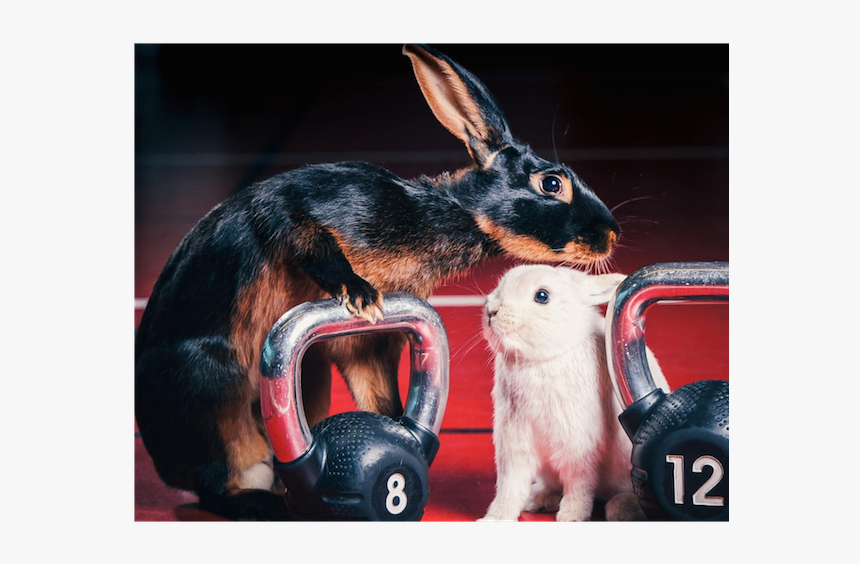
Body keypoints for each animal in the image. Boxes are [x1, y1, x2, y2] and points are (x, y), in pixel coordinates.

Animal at [135, 44, 621, 520]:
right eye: (551, 183)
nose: (611, 235)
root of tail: (165, 462)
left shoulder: (367, 348)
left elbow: (382, 400)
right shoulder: (300, 207)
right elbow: (308, 237)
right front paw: (360, 294)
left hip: (308, 379)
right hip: (212, 385)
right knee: (216, 485)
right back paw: (262, 504)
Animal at [478, 265, 669, 522]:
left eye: (542, 296)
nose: (491, 310)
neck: (544, 358)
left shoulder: (580, 447)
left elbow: (579, 484)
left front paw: (572, 516)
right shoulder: (514, 443)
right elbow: (510, 485)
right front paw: (494, 518)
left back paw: (622, 509)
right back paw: (537, 499)